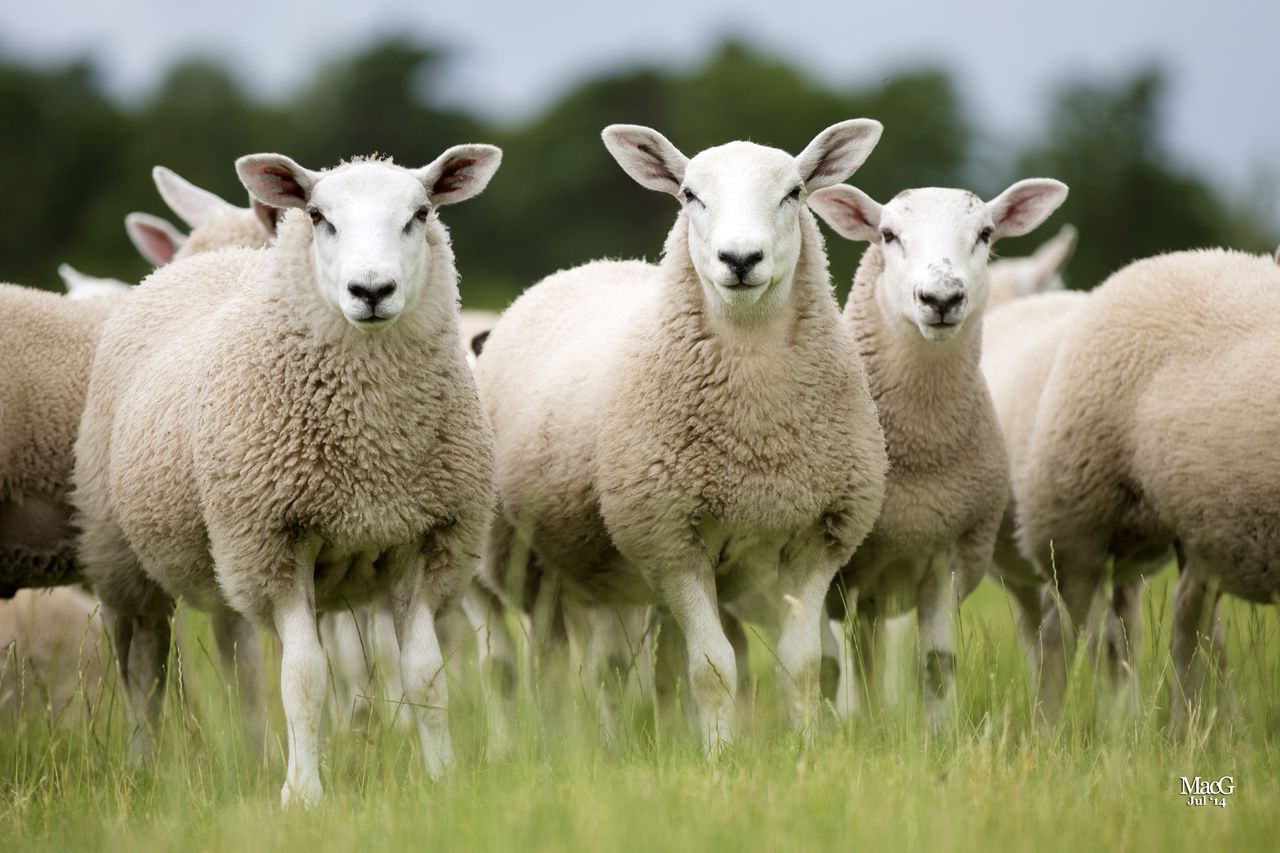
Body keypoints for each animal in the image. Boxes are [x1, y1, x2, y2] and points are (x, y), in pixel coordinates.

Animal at [73, 142, 504, 799]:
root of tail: (204, 264)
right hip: (125, 554)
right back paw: (144, 767)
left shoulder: (422, 539)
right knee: (145, 665)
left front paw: (442, 778)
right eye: (320, 217)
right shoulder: (274, 544)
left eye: (421, 213)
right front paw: (303, 794)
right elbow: (303, 677)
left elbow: (424, 676)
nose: (371, 289)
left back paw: (263, 753)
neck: (373, 451)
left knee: (240, 661)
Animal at [473, 117, 890, 742]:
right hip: (531, 566)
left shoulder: (820, 536)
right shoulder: (671, 539)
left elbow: (804, 666)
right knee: (552, 667)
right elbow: (713, 669)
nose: (739, 258)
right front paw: (719, 755)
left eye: (794, 192)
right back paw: (564, 742)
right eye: (690, 195)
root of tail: (591, 265)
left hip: (615, 577)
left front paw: (805, 747)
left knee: (631, 665)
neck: (758, 434)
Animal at [808, 175, 1070, 722]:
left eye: (986, 234)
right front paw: (822, 732)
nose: (942, 297)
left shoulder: (948, 556)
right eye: (888, 235)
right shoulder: (824, 564)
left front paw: (938, 732)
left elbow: (937, 665)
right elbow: (824, 667)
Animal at [1013, 247, 1280, 722]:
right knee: (1061, 634)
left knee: (1190, 622)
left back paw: (1192, 723)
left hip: (1199, 527)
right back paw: (1050, 728)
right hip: (1076, 510)